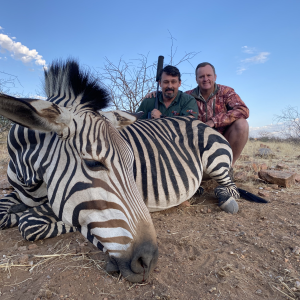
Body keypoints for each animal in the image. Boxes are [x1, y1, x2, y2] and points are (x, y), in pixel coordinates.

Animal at [0, 59, 158, 284]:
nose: (148, 260)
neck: (29, 177)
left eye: (132, 162)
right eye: (93, 163)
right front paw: (16, 210)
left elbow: (29, 223)